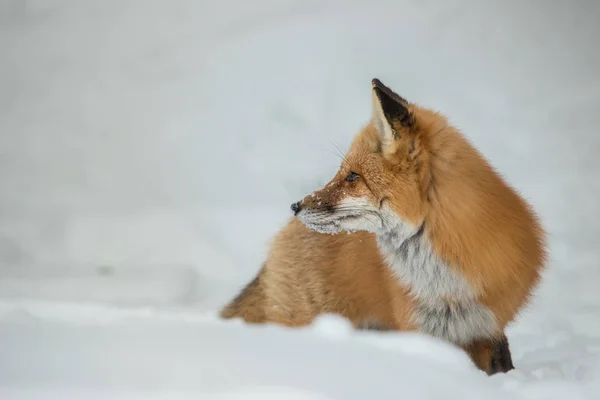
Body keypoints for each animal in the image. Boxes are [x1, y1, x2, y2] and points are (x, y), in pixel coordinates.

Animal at [221, 78, 548, 376]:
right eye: (342, 173)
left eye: (353, 177)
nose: (295, 206)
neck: (448, 285)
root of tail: (280, 239)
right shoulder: (420, 329)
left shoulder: (487, 328)